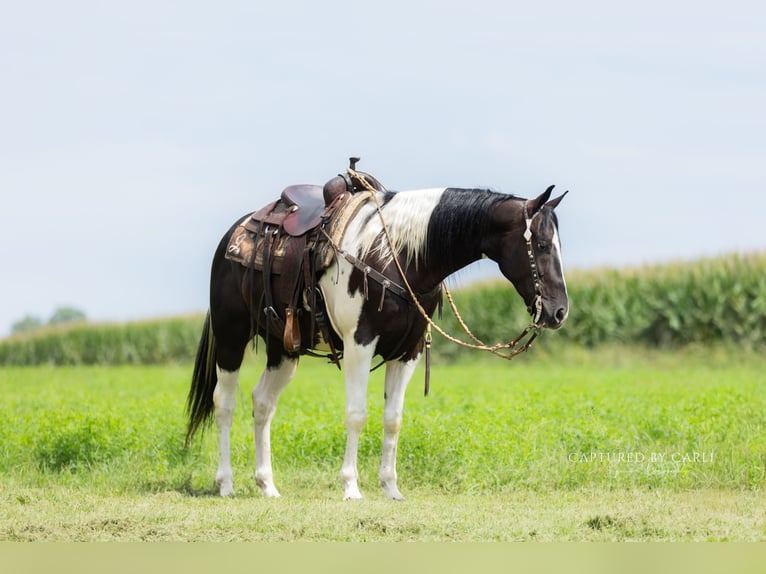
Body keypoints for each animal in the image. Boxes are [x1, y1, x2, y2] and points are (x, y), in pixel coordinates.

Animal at [185, 167, 569, 500]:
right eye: (542, 245)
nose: (559, 312)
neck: (398, 253)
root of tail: (233, 235)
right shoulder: (360, 343)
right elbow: (356, 415)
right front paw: (351, 487)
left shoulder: (408, 352)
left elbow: (393, 420)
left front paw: (391, 488)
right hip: (231, 336)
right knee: (224, 403)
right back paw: (226, 483)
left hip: (283, 348)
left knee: (263, 403)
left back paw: (267, 485)